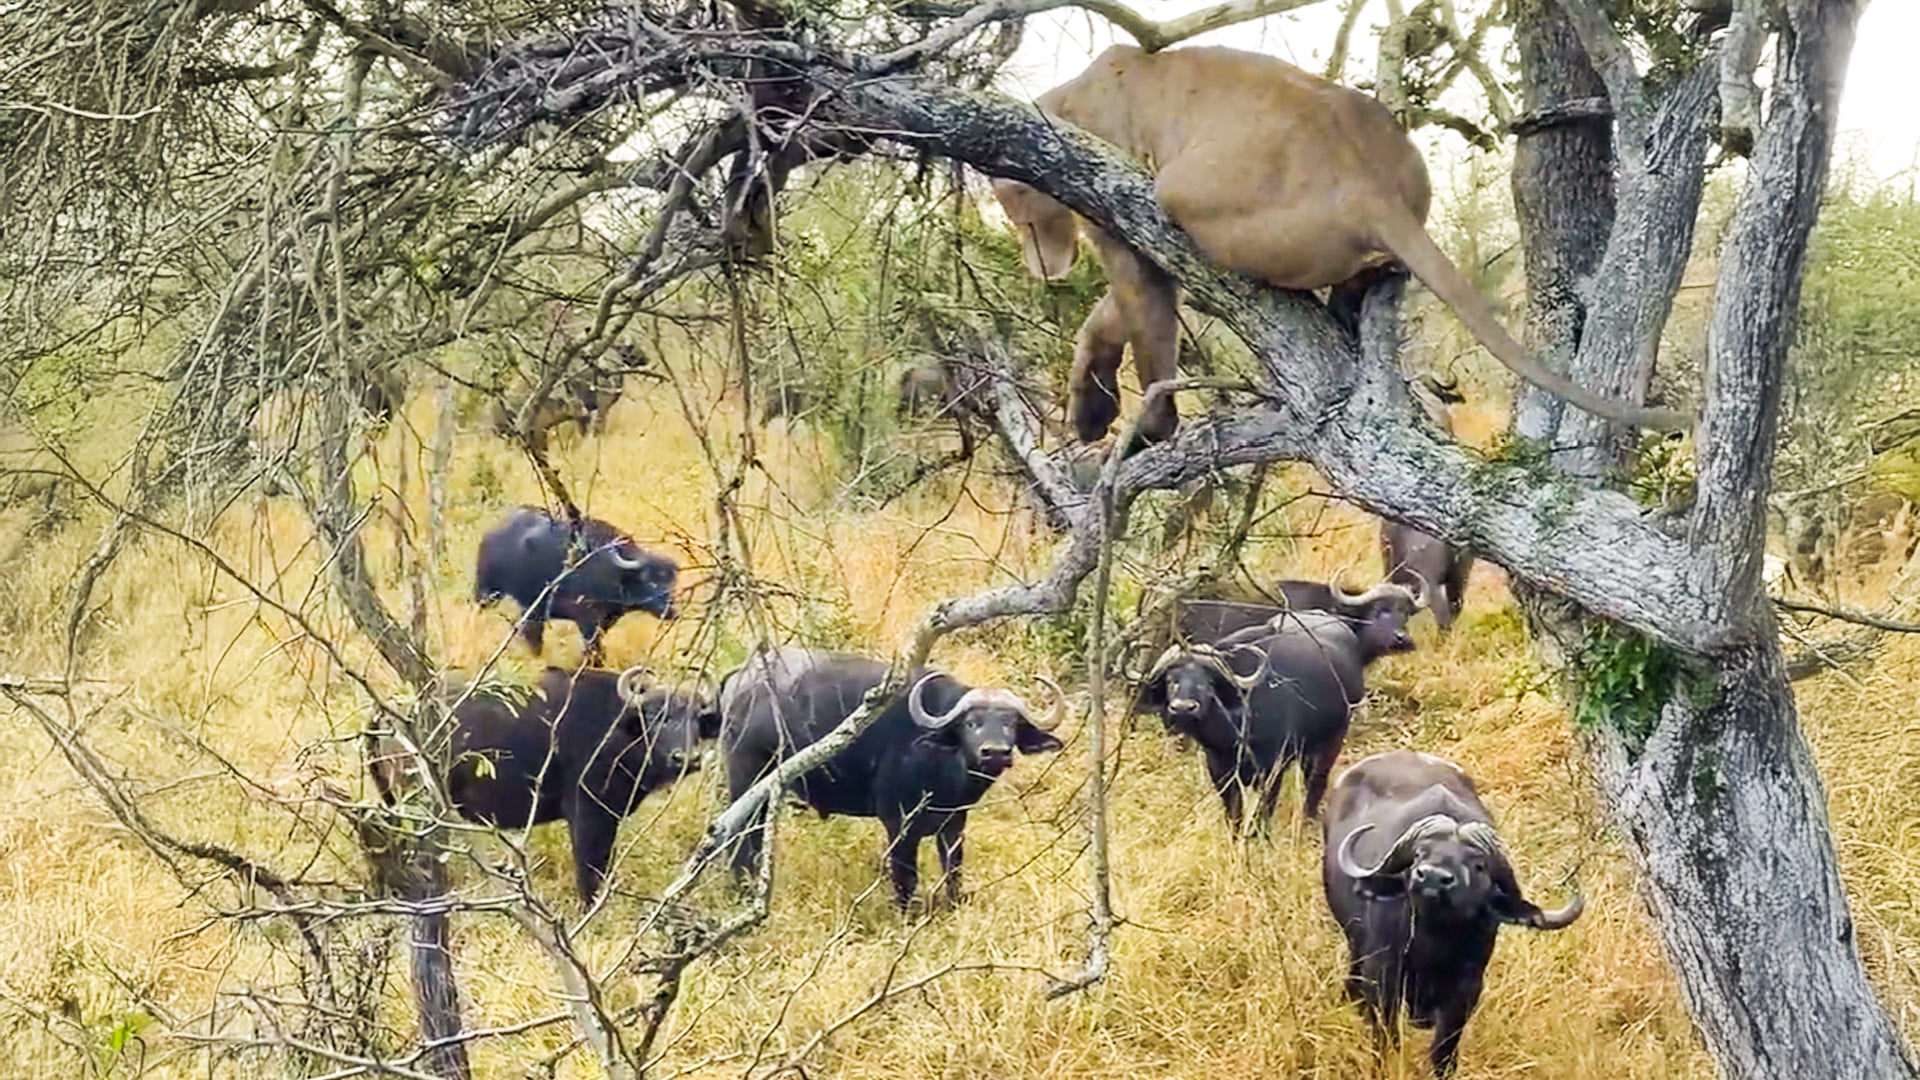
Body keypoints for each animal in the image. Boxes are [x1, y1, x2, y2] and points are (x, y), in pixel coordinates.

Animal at [446, 666, 718, 904]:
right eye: (657, 717)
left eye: (697, 719)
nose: (688, 758)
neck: (614, 731)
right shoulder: (586, 814)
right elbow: (589, 868)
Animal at [474, 507, 679, 665]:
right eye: (650, 580)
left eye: (673, 582)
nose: (672, 611)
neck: (614, 572)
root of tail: (491, 533)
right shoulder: (586, 617)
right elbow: (595, 649)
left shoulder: (606, 620)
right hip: (487, 592)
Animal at [718, 647, 1063, 910]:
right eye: (971, 723)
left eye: (1010, 723)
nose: (995, 753)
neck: (943, 768)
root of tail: (740, 680)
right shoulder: (898, 824)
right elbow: (905, 878)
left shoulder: (953, 824)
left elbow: (953, 871)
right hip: (746, 777)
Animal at [1136, 597, 1417, 828]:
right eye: (1171, 681)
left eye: (1208, 683)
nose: (1183, 708)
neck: (1234, 732)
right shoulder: (1220, 771)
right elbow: (1234, 814)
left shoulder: (1273, 770)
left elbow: (1264, 812)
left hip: (1331, 740)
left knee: (1316, 782)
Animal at [1324, 749, 1583, 1076]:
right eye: (1419, 853)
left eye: (1478, 865)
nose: (1432, 877)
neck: (1432, 944)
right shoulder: (1383, 975)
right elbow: (1386, 1037)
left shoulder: (1466, 989)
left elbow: (1444, 1049)